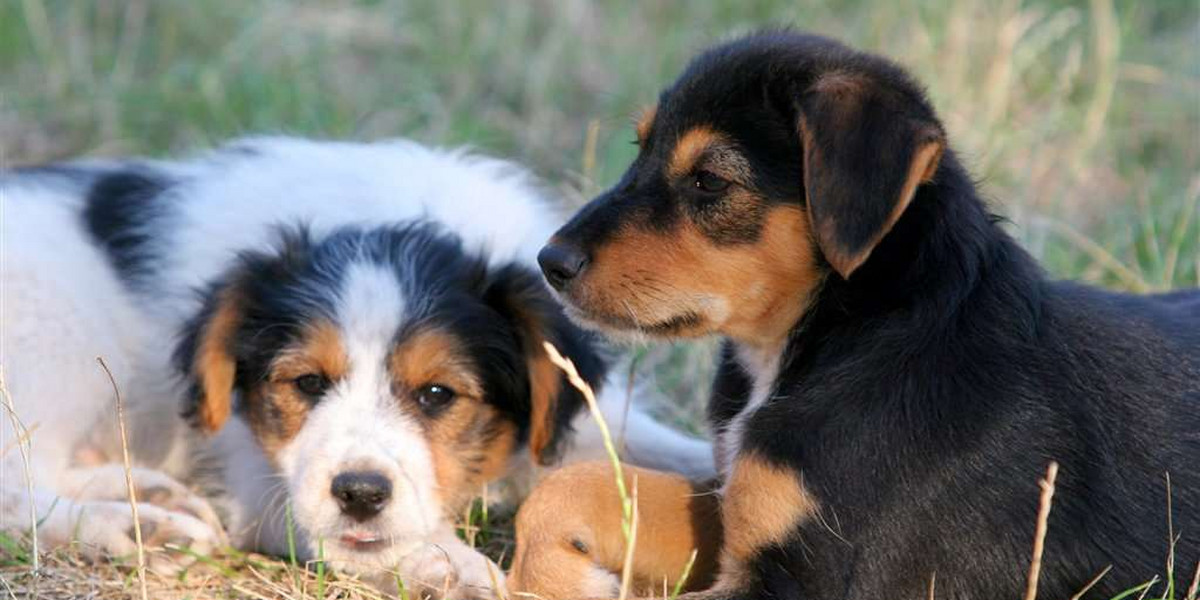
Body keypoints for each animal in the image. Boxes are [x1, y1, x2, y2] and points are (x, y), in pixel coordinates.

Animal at [0, 136, 710, 595]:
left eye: (437, 394)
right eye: (308, 382)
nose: (360, 495)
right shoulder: (259, 472)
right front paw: (447, 566)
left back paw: (145, 492)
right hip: (52, 346)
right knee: (15, 486)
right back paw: (137, 526)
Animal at [518, 31, 1200, 600]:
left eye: (710, 180)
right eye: (641, 148)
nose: (550, 261)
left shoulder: (813, 579)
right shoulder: (744, 501)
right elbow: (567, 487)